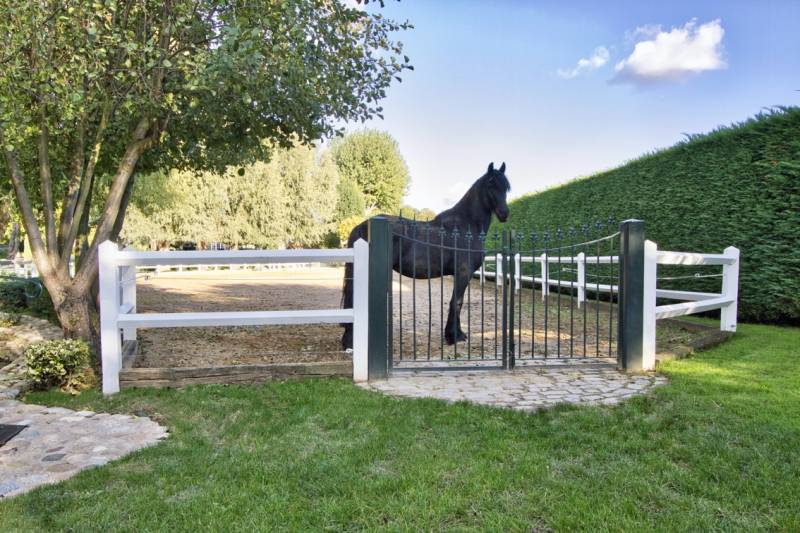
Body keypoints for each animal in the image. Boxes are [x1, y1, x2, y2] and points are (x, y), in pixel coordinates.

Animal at [341, 162, 511, 350]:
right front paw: (455, 336)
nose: (504, 213)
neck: (467, 226)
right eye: (491, 184)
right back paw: (350, 342)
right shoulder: (463, 273)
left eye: (506, 187)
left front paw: (454, 334)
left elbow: (456, 301)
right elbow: (457, 302)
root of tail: (362, 225)